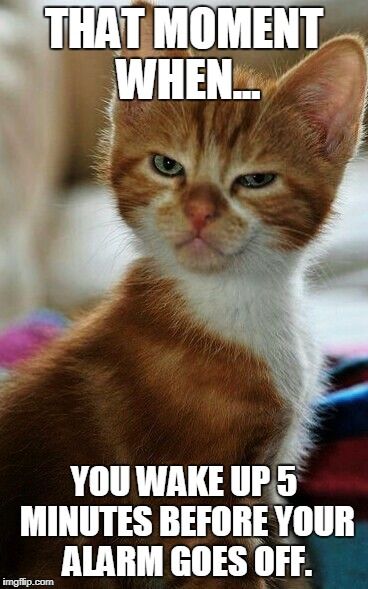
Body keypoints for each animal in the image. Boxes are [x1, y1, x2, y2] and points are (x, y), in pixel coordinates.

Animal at [0, 4, 368, 588]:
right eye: (167, 166)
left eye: (256, 180)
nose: (198, 211)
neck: (236, 300)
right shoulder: (193, 507)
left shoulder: (267, 486)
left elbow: (284, 553)